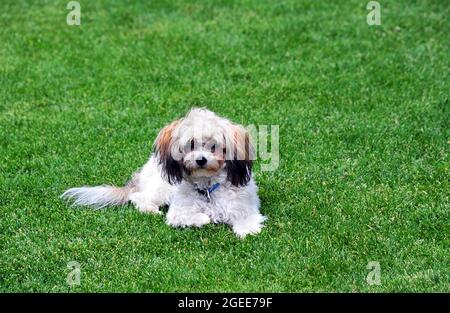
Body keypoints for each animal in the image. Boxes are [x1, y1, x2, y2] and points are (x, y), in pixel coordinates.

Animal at [63, 107, 268, 236]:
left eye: (214, 146)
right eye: (191, 144)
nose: (200, 160)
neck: (208, 188)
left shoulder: (244, 208)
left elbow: (246, 221)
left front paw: (246, 230)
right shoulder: (178, 212)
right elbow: (193, 217)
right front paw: (204, 218)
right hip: (162, 189)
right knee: (138, 197)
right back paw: (151, 209)